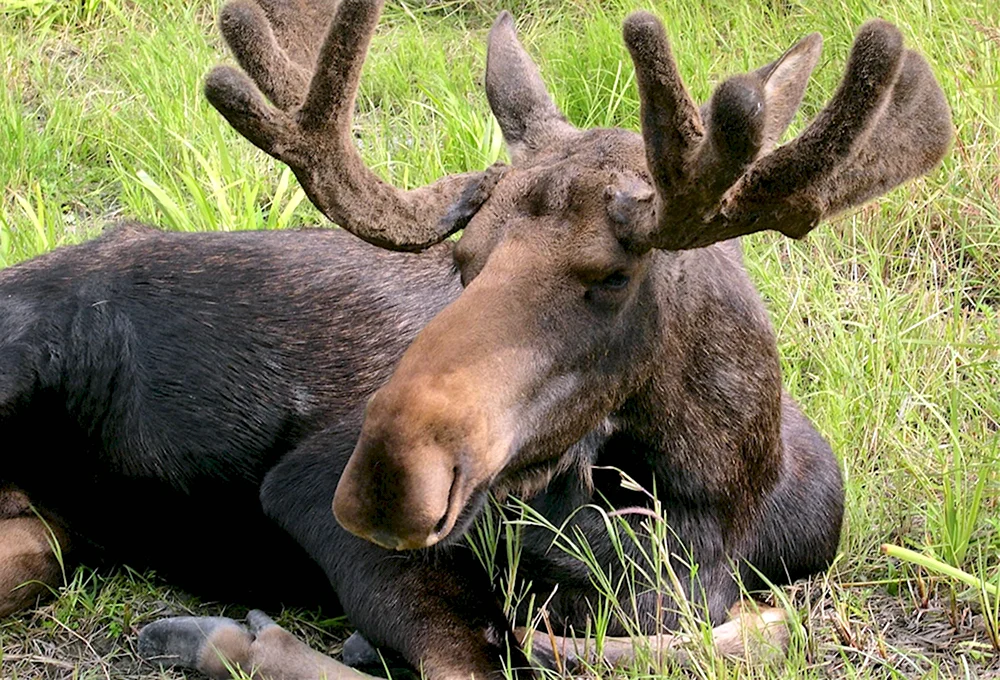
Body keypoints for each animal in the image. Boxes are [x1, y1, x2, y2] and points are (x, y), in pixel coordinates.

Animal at [0, 0, 948, 676]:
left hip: (56, 528)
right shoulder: (305, 491)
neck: (724, 501)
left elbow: (759, 628)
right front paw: (235, 641)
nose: (383, 479)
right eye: (462, 258)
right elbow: (488, 660)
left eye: (613, 276)